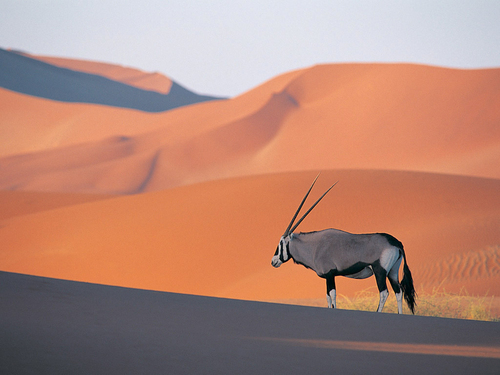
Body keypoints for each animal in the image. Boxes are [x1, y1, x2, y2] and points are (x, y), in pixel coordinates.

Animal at [272, 176, 416, 314]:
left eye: (281, 243)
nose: (273, 261)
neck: (315, 246)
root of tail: (396, 242)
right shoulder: (327, 277)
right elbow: (327, 297)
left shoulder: (330, 274)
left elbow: (332, 295)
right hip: (392, 271)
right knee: (399, 292)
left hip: (380, 271)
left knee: (384, 293)